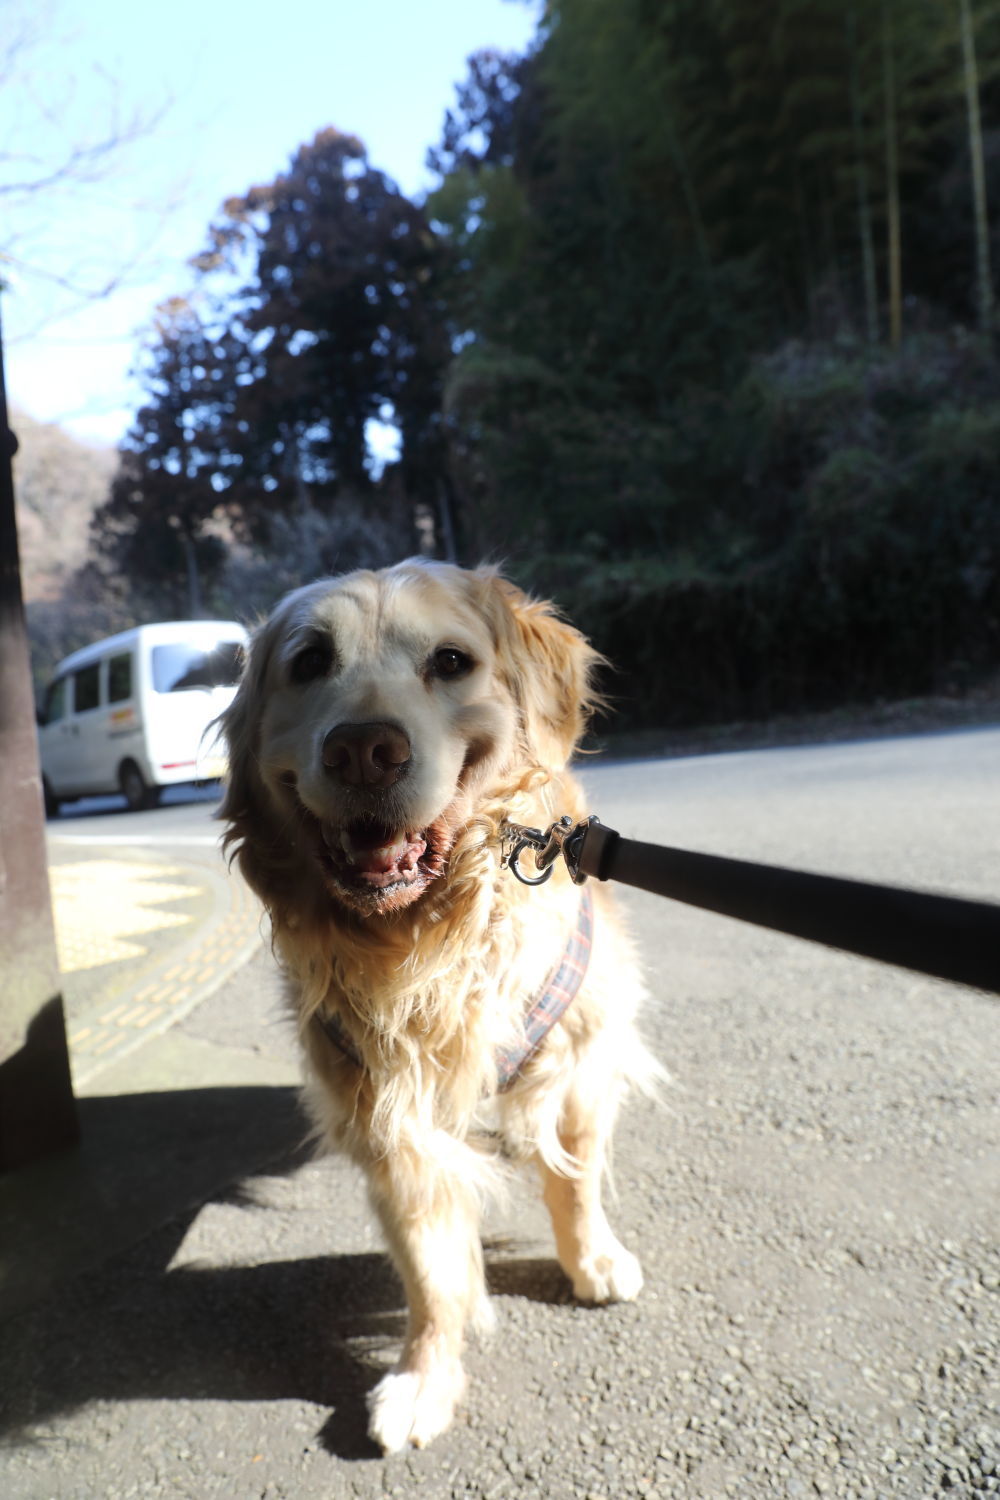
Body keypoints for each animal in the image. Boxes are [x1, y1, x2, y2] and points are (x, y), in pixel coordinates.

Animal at [217, 561, 656, 1452]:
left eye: (451, 662)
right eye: (309, 662)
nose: (363, 750)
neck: (429, 944)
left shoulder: (580, 1060)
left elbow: (576, 1181)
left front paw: (592, 1259)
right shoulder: (388, 1114)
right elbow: (432, 1269)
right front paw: (425, 1377)